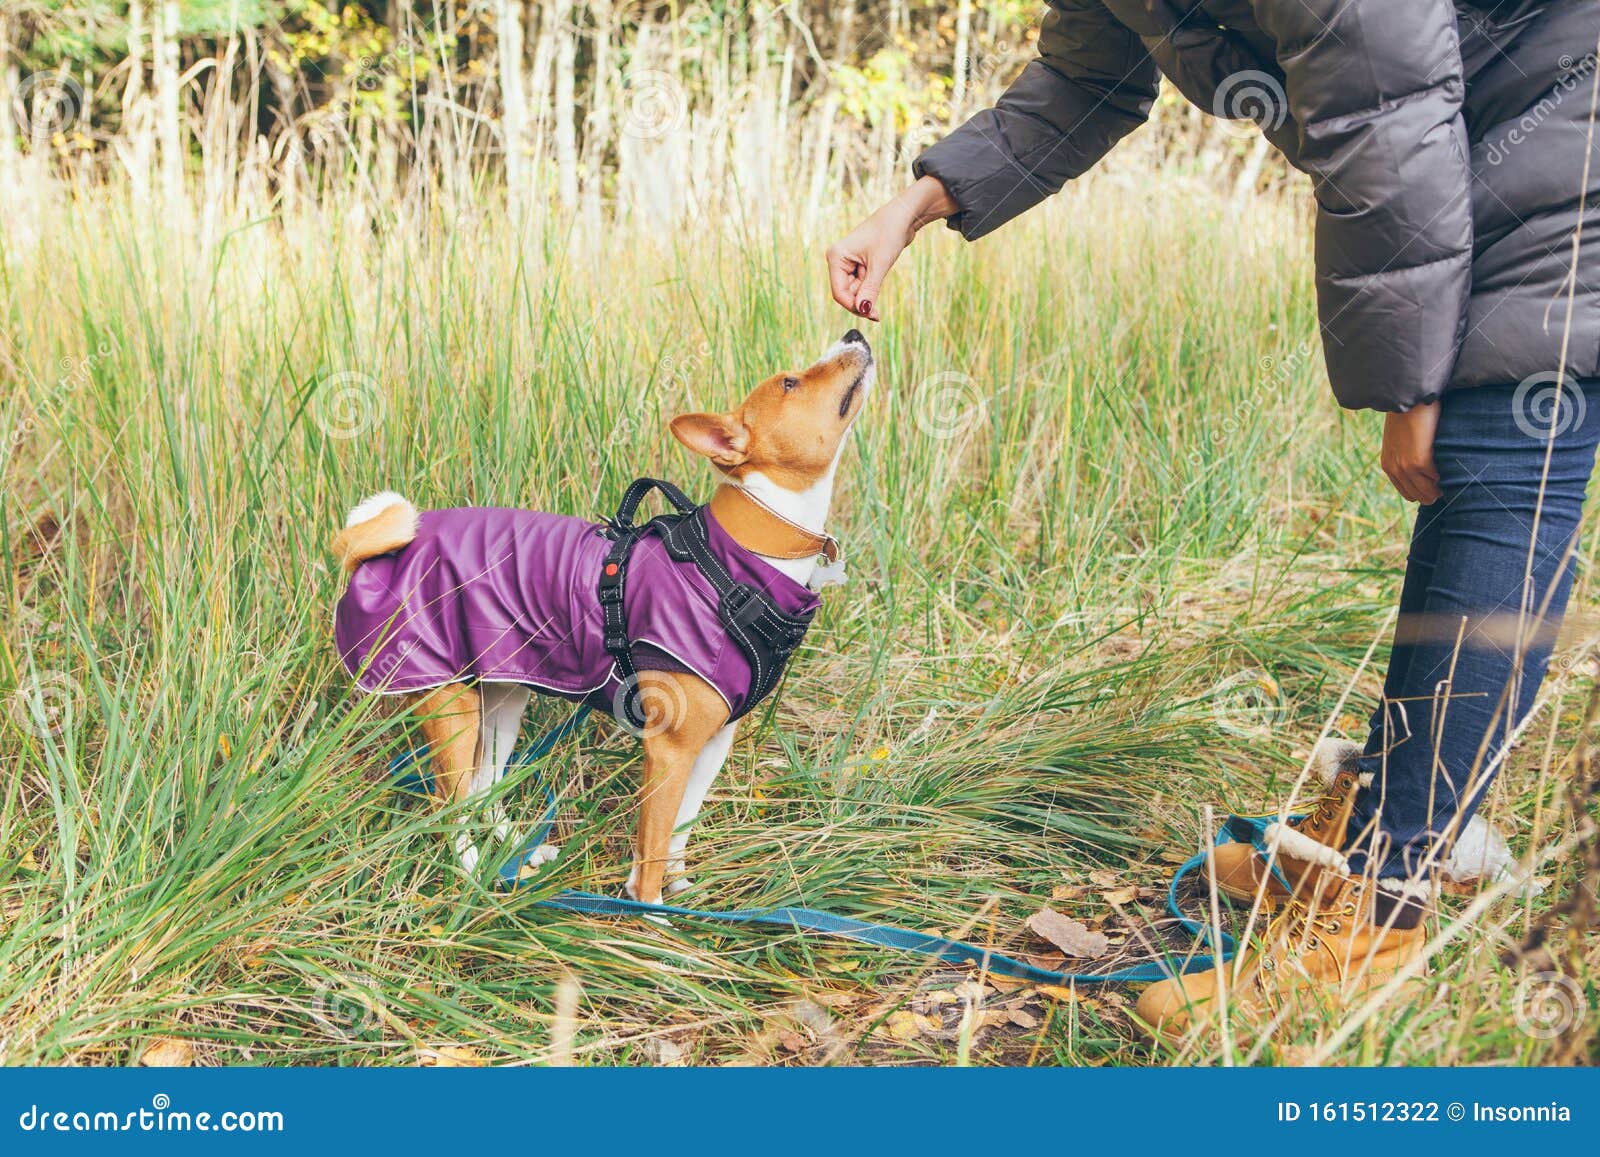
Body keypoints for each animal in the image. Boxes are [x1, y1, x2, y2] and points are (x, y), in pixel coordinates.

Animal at [328, 328, 876, 902]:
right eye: (791, 382)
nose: (855, 332)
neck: (737, 561)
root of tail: (371, 554)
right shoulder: (670, 749)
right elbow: (652, 846)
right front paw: (652, 912)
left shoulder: (711, 744)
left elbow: (678, 831)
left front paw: (682, 892)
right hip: (450, 707)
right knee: (449, 807)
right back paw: (478, 874)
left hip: (502, 697)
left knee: (483, 787)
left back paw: (518, 851)